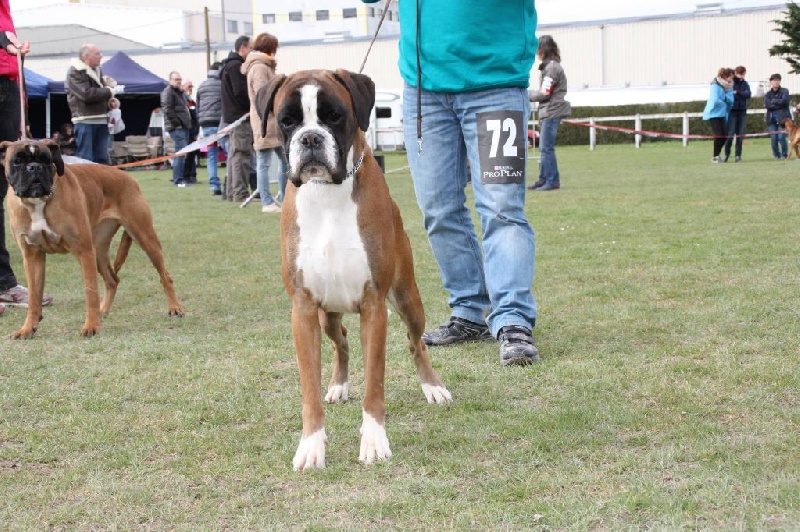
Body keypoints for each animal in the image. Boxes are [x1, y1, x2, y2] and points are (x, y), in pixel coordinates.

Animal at [0, 139, 183, 338]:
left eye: (47, 160)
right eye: (17, 161)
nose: (34, 167)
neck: (38, 203)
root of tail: (127, 177)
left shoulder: (84, 251)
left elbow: (90, 291)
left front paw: (91, 326)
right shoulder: (32, 256)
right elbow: (34, 297)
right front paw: (27, 328)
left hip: (144, 237)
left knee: (165, 276)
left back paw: (175, 308)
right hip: (99, 251)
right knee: (112, 280)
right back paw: (103, 310)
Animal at [260, 69, 454, 470]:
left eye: (334, 116)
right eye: (286, 121)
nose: (311, 138)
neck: (327, 193)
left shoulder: (374, 306)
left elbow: (374, 383)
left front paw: (374, 441)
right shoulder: (303, 310)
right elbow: (309, 389)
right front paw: (311, 444)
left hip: (408, 300)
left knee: (415, 343)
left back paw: (433, 387)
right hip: (327, 316)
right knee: (343, 341)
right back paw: (338, 385)